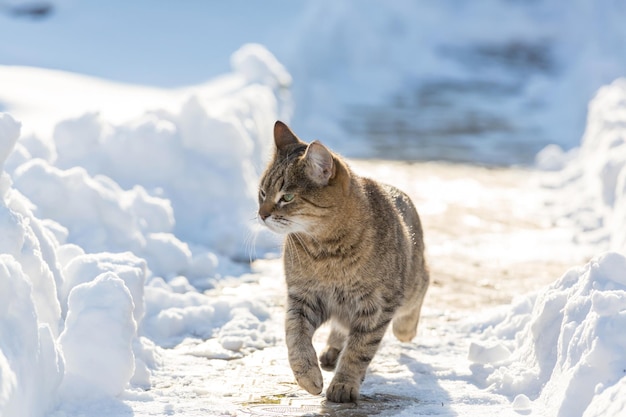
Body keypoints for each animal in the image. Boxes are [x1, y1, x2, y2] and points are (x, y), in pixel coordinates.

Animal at [256, 121, 426, 404]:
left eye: (287, 197)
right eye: (262, 193)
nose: (261, 214)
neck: (326, 254)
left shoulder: (376, 305)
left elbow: (359, 349)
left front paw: (344, 384)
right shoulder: (302, 297)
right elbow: (295, 337)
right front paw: (308, 375)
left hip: (410, 286)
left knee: (423, 286)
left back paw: (404, 329)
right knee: (341, 328)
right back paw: (332, 350)